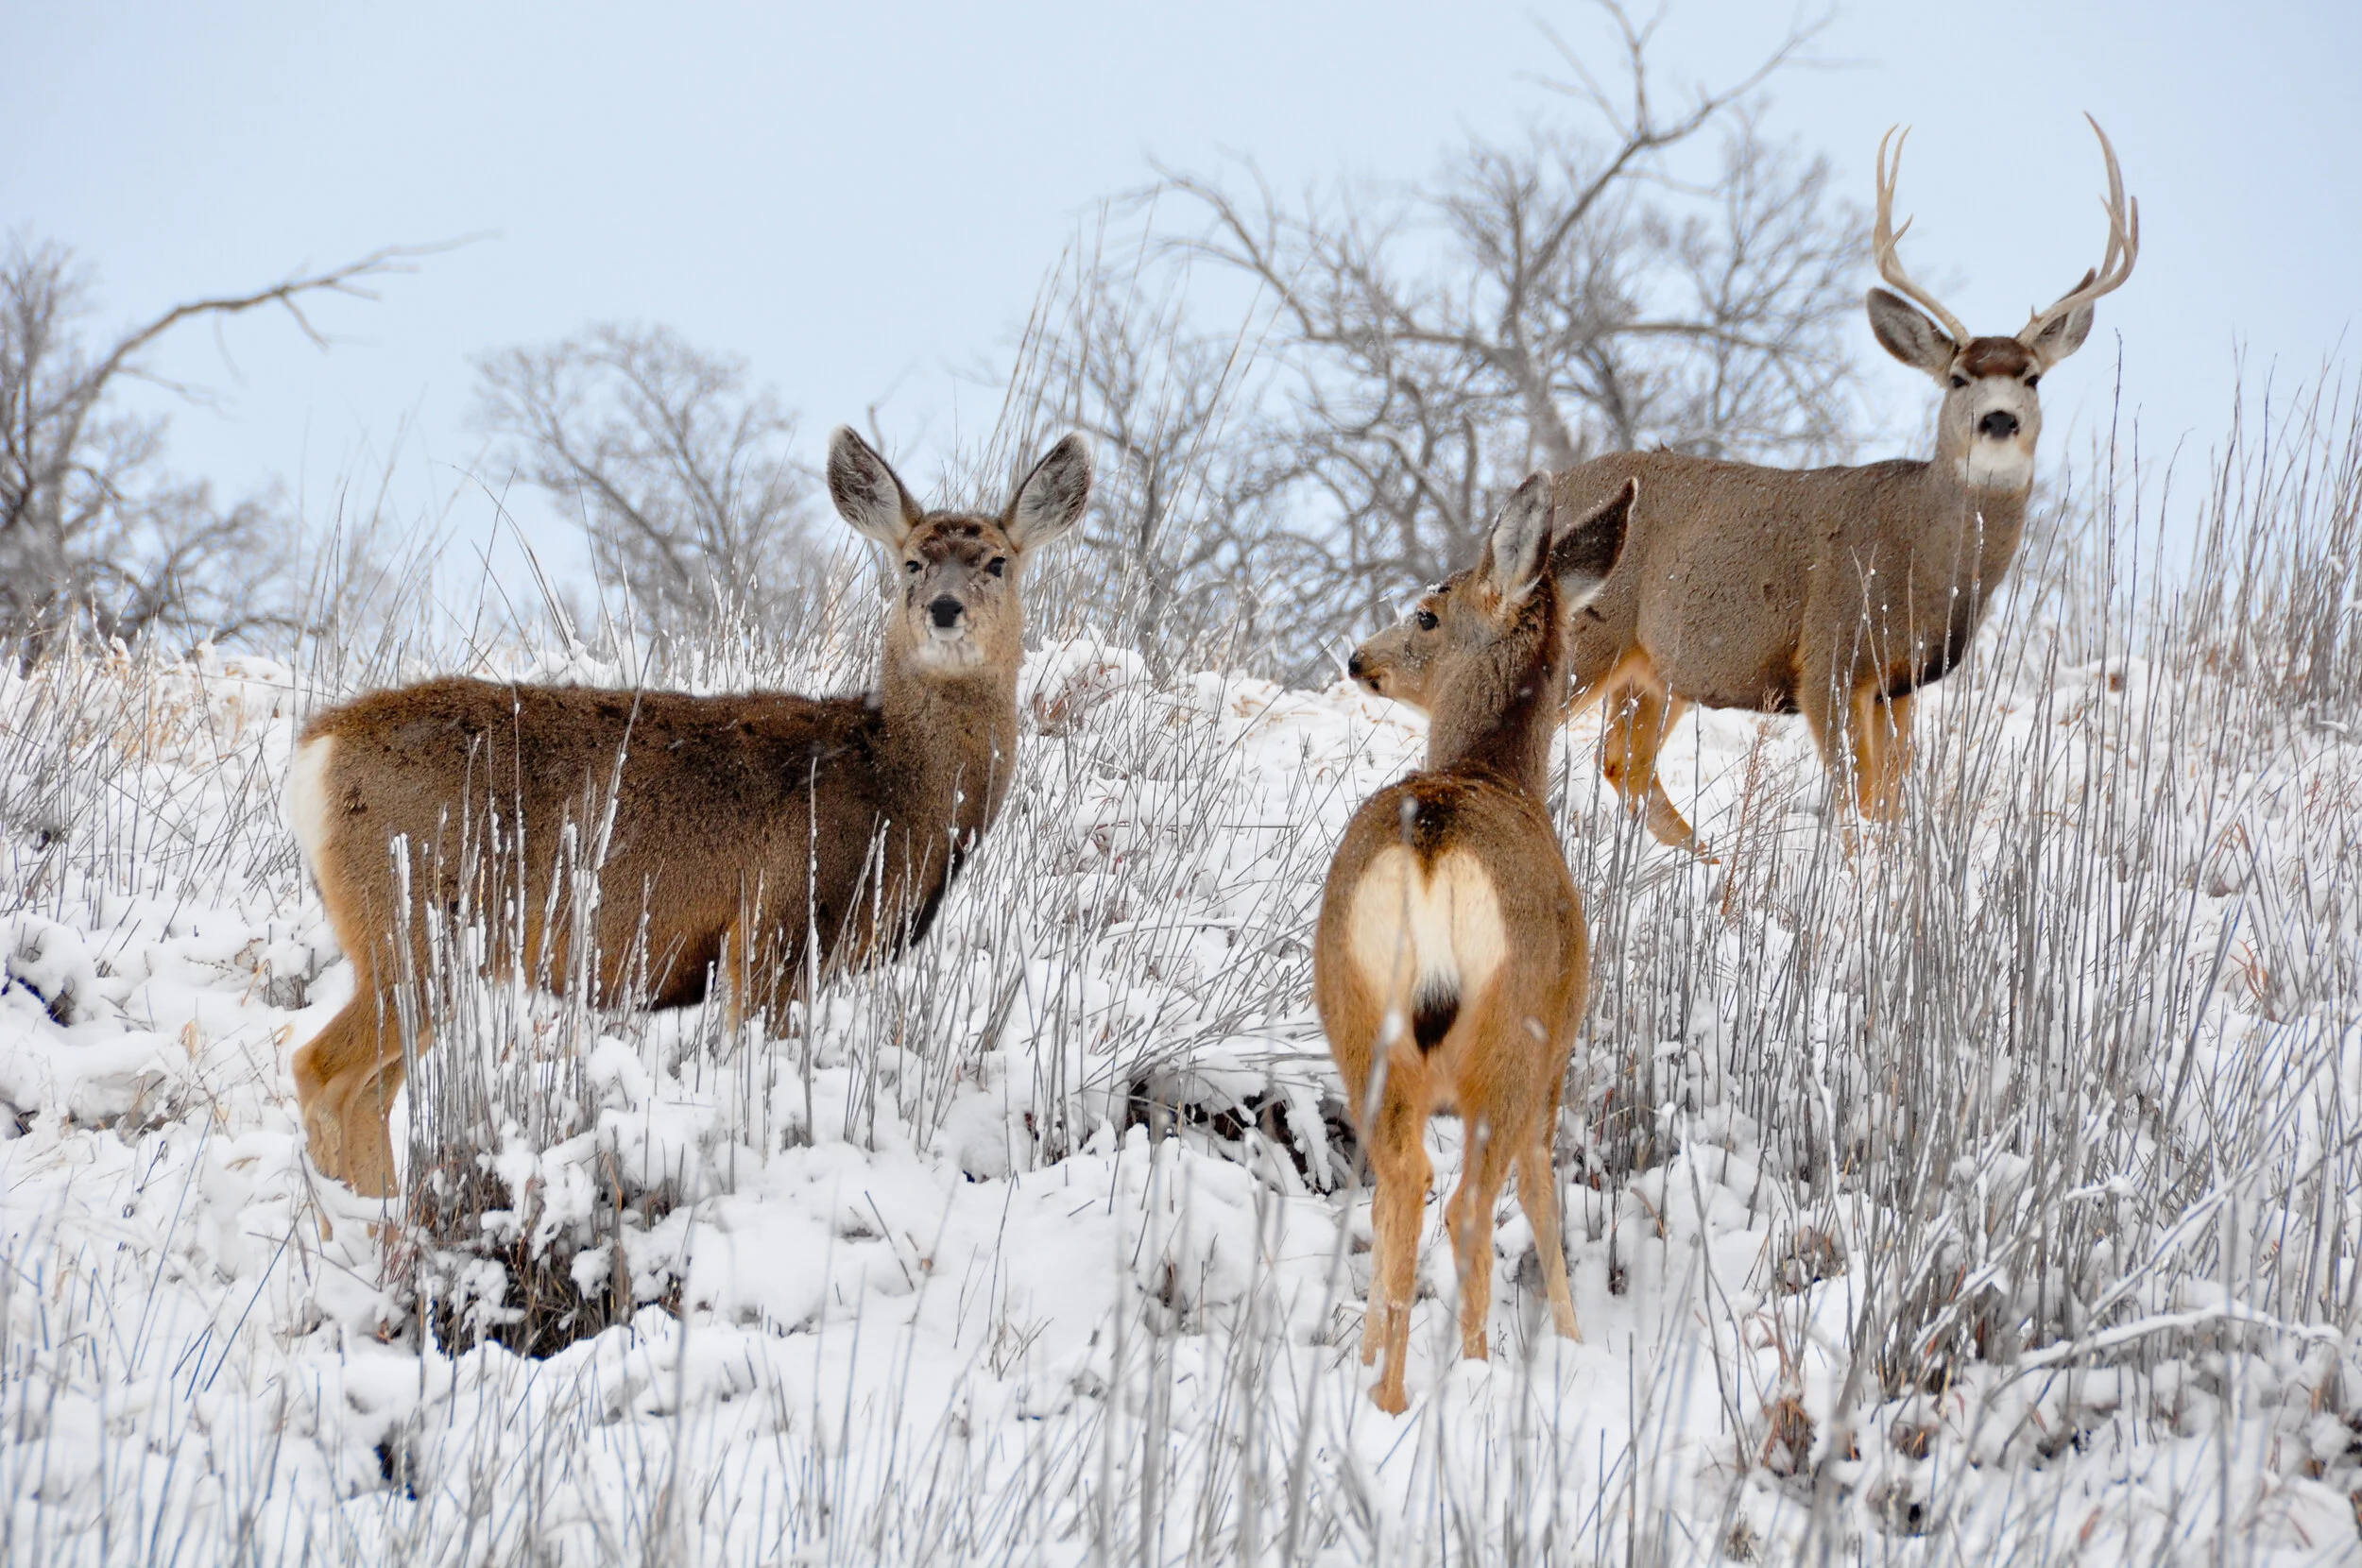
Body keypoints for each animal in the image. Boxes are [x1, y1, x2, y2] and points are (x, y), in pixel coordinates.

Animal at [287, 428, 1092, 1196]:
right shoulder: (772, 919)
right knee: (321, 1071)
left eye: (997, 563)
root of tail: (317, 751)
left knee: (371, 1091)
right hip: (412, 920)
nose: (944, 611)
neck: (895, 788)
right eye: (913, 564)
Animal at [1320, 471, 1635, 1414]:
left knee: (1400, 1183)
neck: (1495, 773)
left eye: (1428, 614)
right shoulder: (1560, 1048)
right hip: (1511, 1033)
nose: (1359, 659)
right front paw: (1571, 1335)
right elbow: (1542, 1192)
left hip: (1359, 1020)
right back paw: (1473, 1375)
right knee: (1466, 1201)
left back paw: (1381, 1390)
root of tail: (1431, 842)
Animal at [1546, 116, 2137, 853]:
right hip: (1588, 636)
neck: (1921, 562)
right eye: (1957, 378)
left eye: (2031, 376)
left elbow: (1889, 805)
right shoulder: (1829, 658)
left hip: (1659, 666)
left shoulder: (1901, 685)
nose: (1999, 421)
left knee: (1625, 762)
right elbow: (1856, 808)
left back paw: (1707, 862)